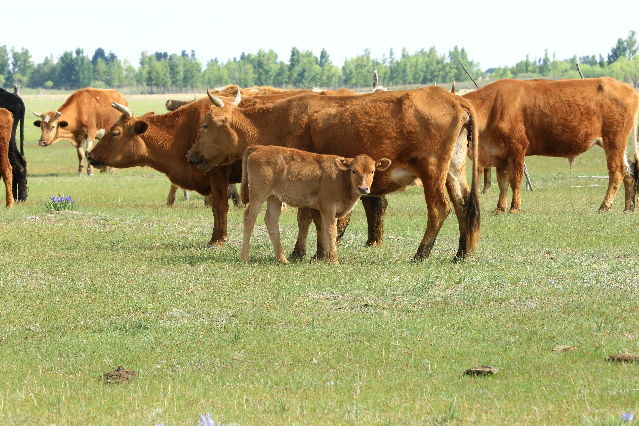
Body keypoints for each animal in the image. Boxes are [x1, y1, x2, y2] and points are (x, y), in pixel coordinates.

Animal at [240, 148, 390, 264]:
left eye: (372, 171)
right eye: (353, 171)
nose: (363, 189)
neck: (341, 177)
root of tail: (258, 148)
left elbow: (329, 231)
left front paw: (327, 258)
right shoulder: (328, 208)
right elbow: (330, 231)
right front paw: (334, 260)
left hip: (274, 198)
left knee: (271, 220)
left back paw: (282, 259)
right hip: (258, 195)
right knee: (249, 218)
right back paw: (245, 257)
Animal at [464, 77, 639, 213]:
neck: (492, 107)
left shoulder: (517, 149)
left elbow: (515, 180)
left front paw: (514, 208)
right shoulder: (500, 154)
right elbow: (503, 183)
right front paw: (500, 208)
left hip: (614, 141)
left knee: (617, 172)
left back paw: (604, 206)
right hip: (615, 145)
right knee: (629, 171)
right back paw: (628, 207)